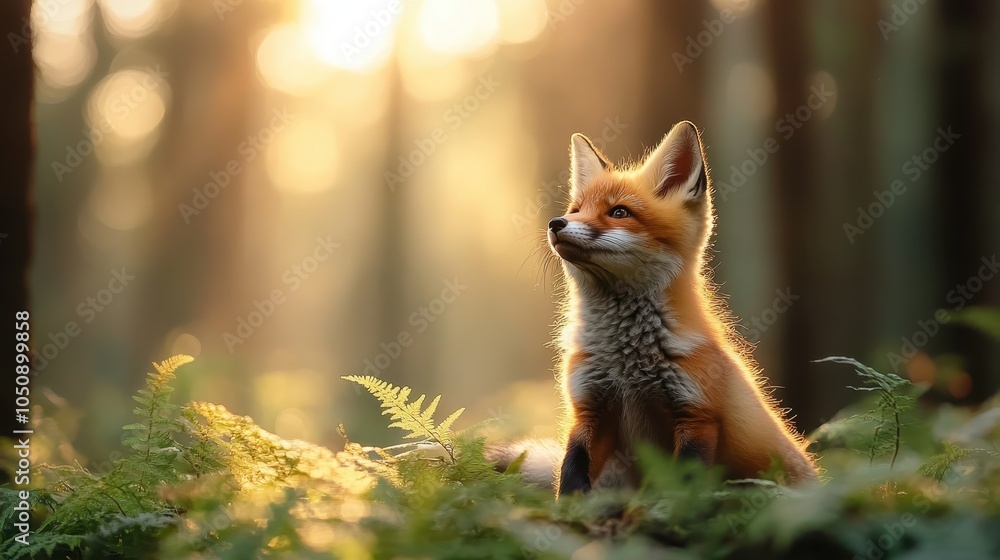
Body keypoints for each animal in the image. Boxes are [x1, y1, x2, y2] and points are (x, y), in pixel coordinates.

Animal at [490, 121, 818, 496]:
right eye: (576, 210)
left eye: (619, 212)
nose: (556, 223)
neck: (627, 364)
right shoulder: (588, 409)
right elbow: (570, 476)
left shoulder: (696, 416)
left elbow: (679, 490)